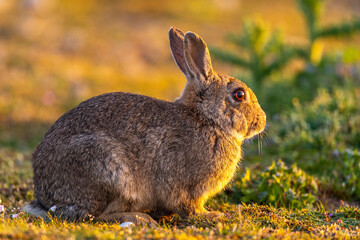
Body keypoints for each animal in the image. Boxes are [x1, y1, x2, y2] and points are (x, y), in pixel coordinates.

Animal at [21, 27, 264, 226]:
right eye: (239, 95)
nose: (262, 121)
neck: (207, 119)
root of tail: (46, 199)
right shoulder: (185, 186)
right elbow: (188, 207)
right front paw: (212, 215)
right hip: (106, 169)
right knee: (92, 216)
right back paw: (140, 218)